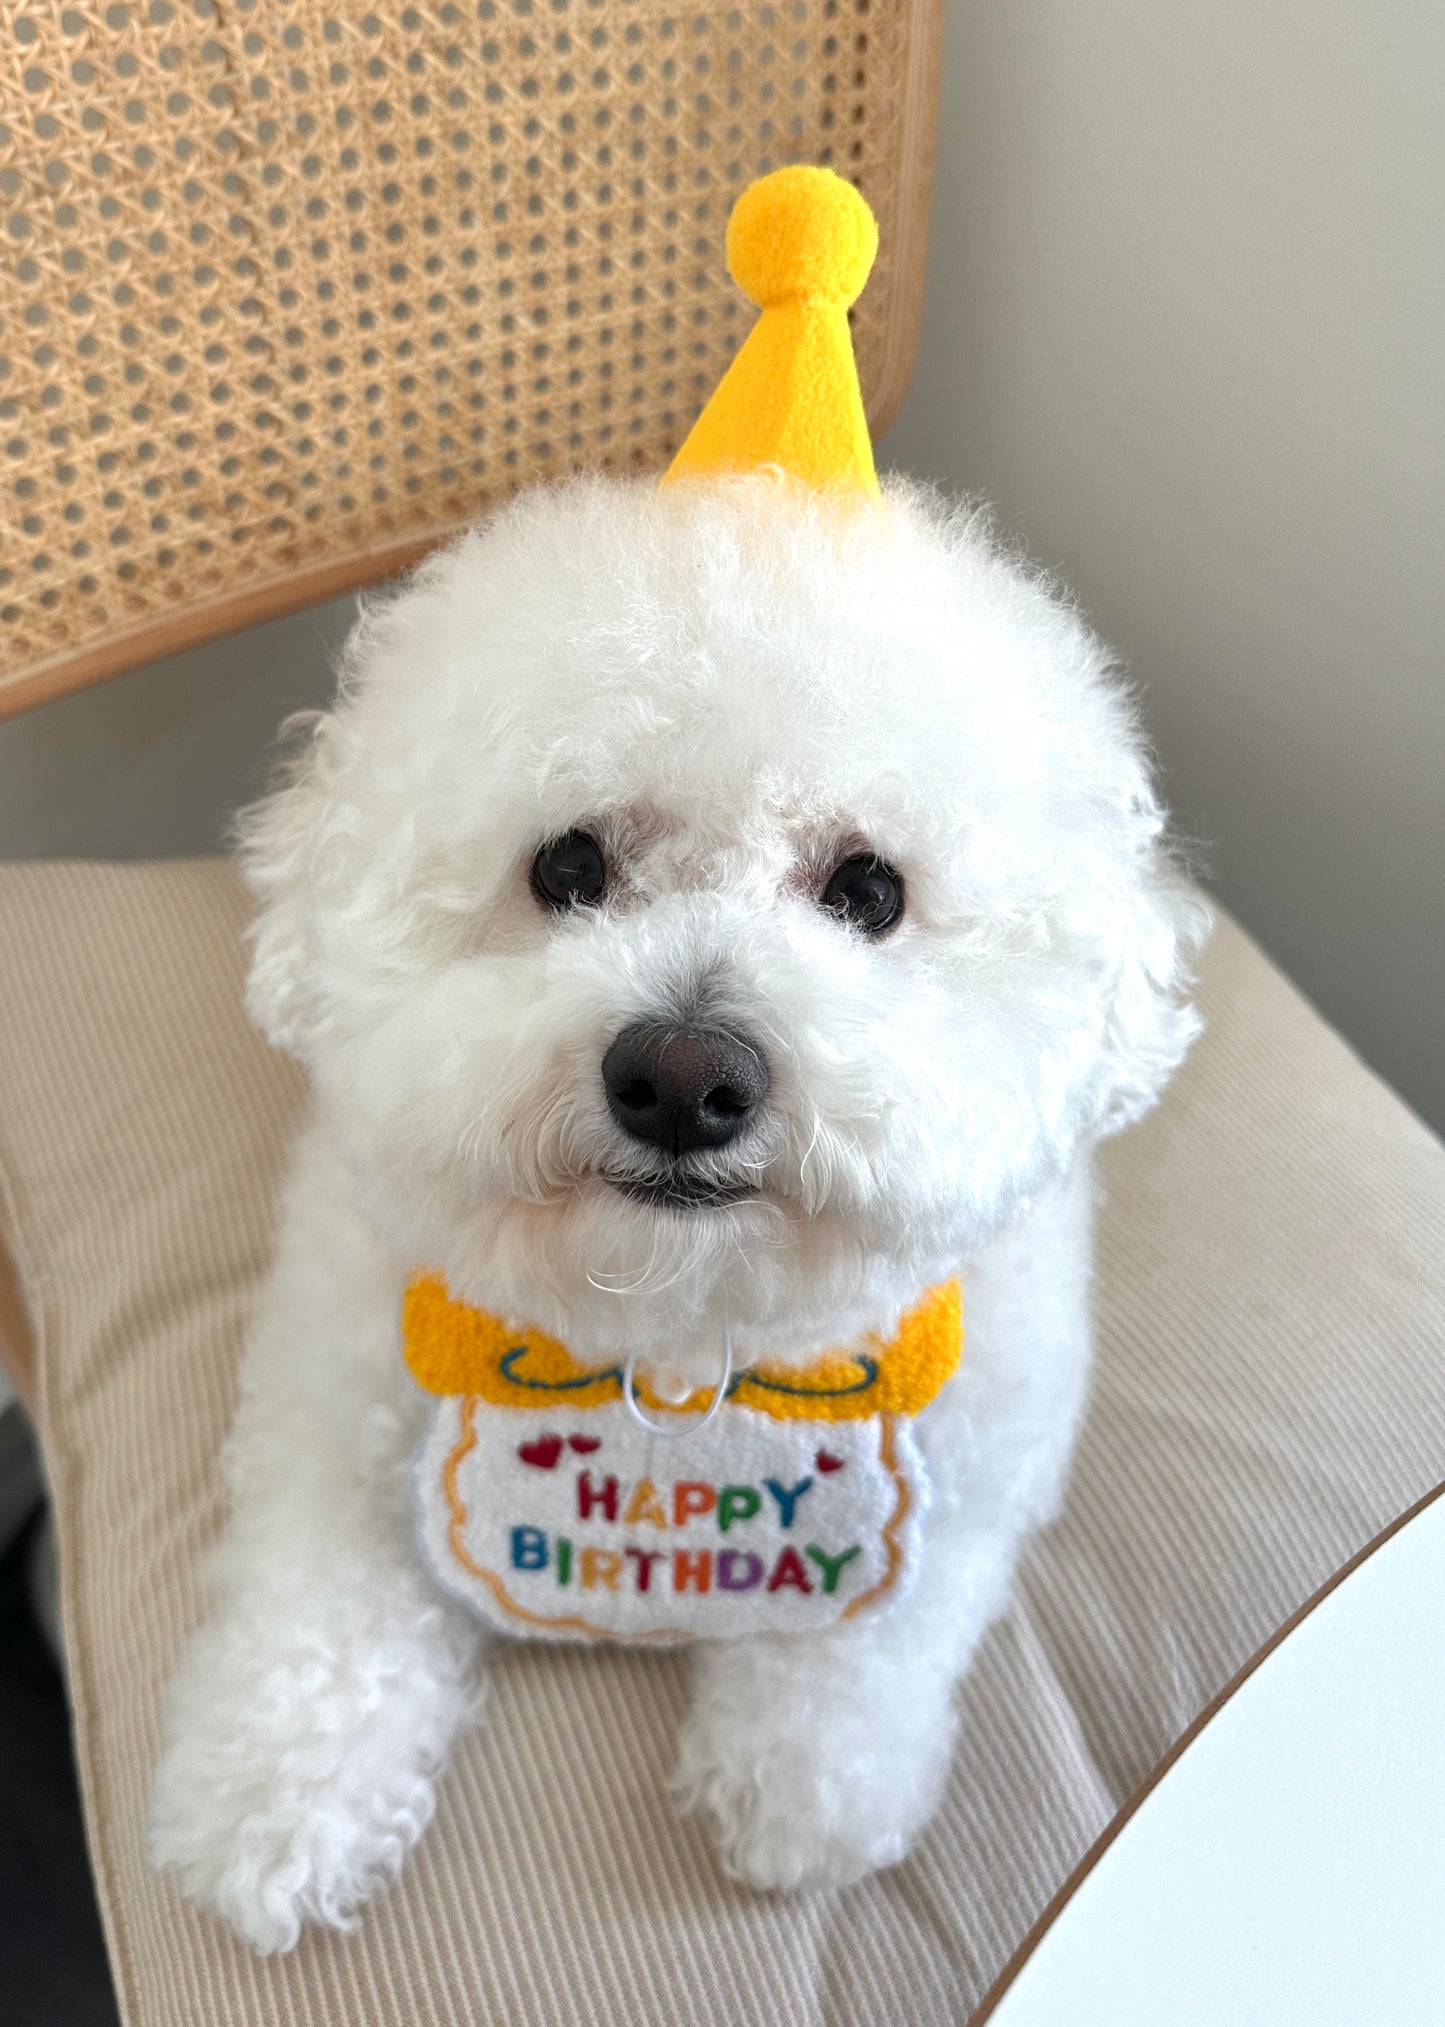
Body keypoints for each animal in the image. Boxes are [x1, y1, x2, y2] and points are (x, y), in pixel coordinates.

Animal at [148, 470, 1207, 1945]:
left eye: (866, 888)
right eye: (568, 866)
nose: (684, 1077)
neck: (676, 1334)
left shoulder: (971, 1454)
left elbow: (878, 1619)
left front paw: (807, 1780)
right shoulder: (336, 1404)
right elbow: (321, 1602)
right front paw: (272, 1796)